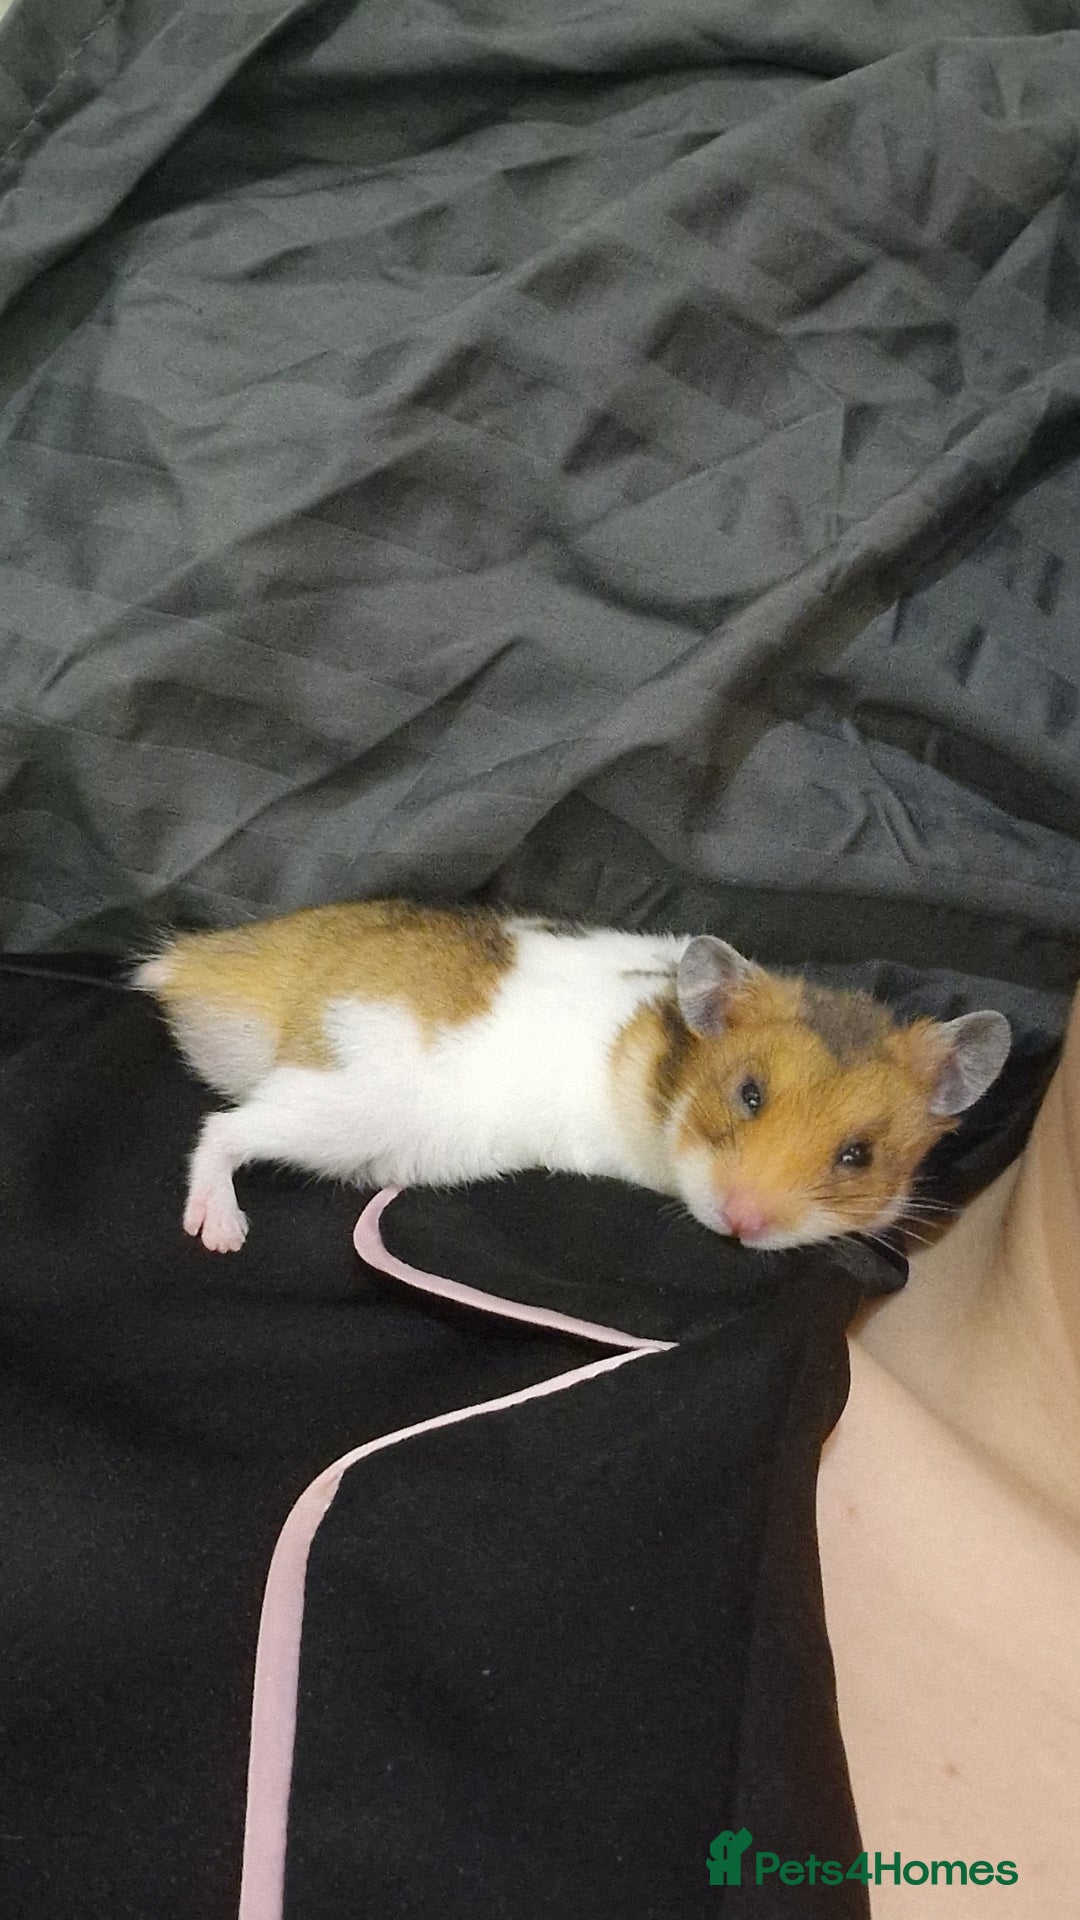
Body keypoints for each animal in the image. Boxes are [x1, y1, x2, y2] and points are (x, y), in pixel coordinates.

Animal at [133, 898, 1011, 1255]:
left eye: (858, 1156)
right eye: (749, 1094)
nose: (742, 1224)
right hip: (345, 1104)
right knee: (221, 1130)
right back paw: (220, 1231)